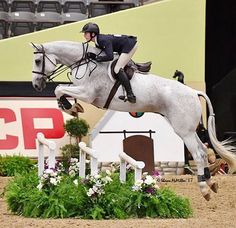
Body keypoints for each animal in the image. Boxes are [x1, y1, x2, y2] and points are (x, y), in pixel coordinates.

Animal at [31, 41, 236, 201]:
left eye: (38, 61)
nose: (35, 85)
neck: (84, 62)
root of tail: (194, 92)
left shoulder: (87, 93)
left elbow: (58, 88)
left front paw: (70, 107)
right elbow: (59, 89)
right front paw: (71, 107)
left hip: (184, 131)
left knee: (199, 155)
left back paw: (204, 189)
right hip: (189, 130)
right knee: (204, 151)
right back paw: (211, 183)